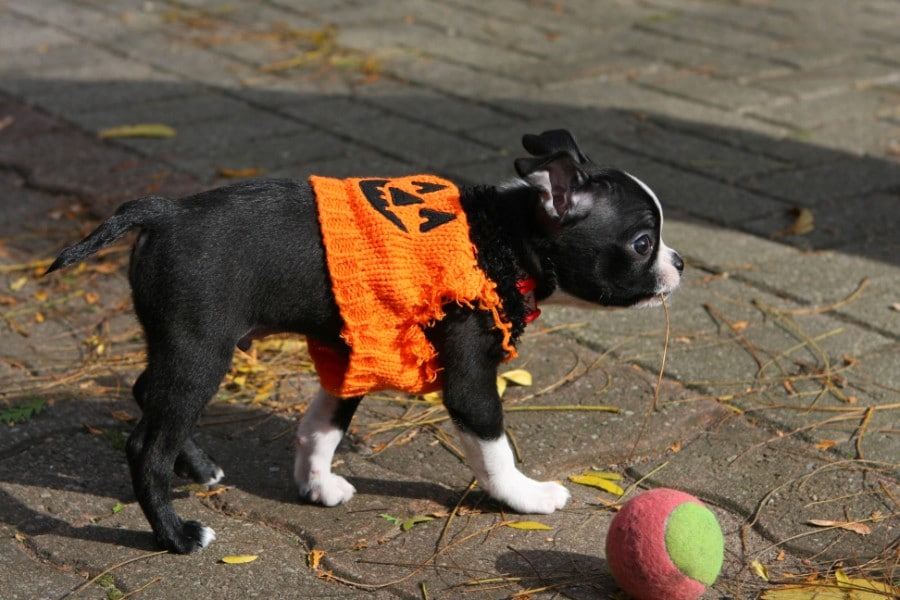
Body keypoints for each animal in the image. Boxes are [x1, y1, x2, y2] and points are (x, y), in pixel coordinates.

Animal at [47, 130, 684, 552]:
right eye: (642, 242)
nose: (679, 261)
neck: (504, 236)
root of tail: (164, 211)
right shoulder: (470, 381)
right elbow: (495, 448)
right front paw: (523, 496)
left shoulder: (351, 350)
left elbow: (323, 425)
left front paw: (315, 483)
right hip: (200, 353)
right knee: (146, 445)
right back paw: (177, 534)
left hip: (179, 346)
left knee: (146, 394)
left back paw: (200, 466)